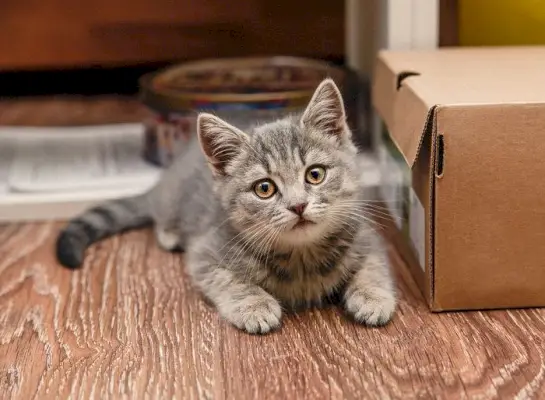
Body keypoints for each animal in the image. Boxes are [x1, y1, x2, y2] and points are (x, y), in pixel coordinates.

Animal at [56, 79, 396, 334]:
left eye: (315, 174)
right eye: (264, 188)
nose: (298, 205)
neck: (302, 256)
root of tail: (167, 175)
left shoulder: (368, 237)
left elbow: (374, 267)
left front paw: (373, 296)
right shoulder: (206, 253)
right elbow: (228, 279)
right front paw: (255, 304)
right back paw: (169, 234)